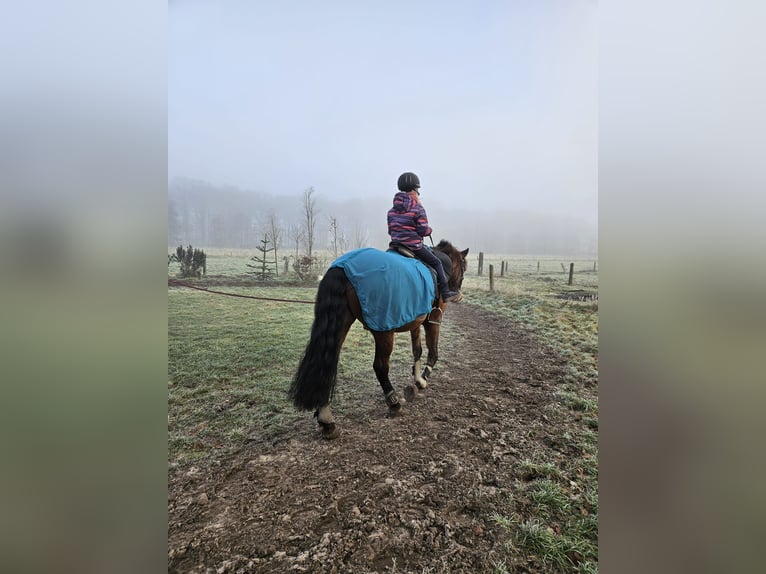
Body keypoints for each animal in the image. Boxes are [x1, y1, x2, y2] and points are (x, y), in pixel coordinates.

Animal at [288, 239, 469, 439]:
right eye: (464, 267)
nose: (457, 293)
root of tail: (342, 268)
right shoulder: (432, 321)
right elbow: (433, 352)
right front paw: (422, 380)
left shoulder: (416, 321)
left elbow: (417, 351)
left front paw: (416, 378)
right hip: (384, 331)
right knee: (380, 367)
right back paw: (393, 403)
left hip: (340, 323)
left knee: (327, 364)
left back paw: (326, 419)